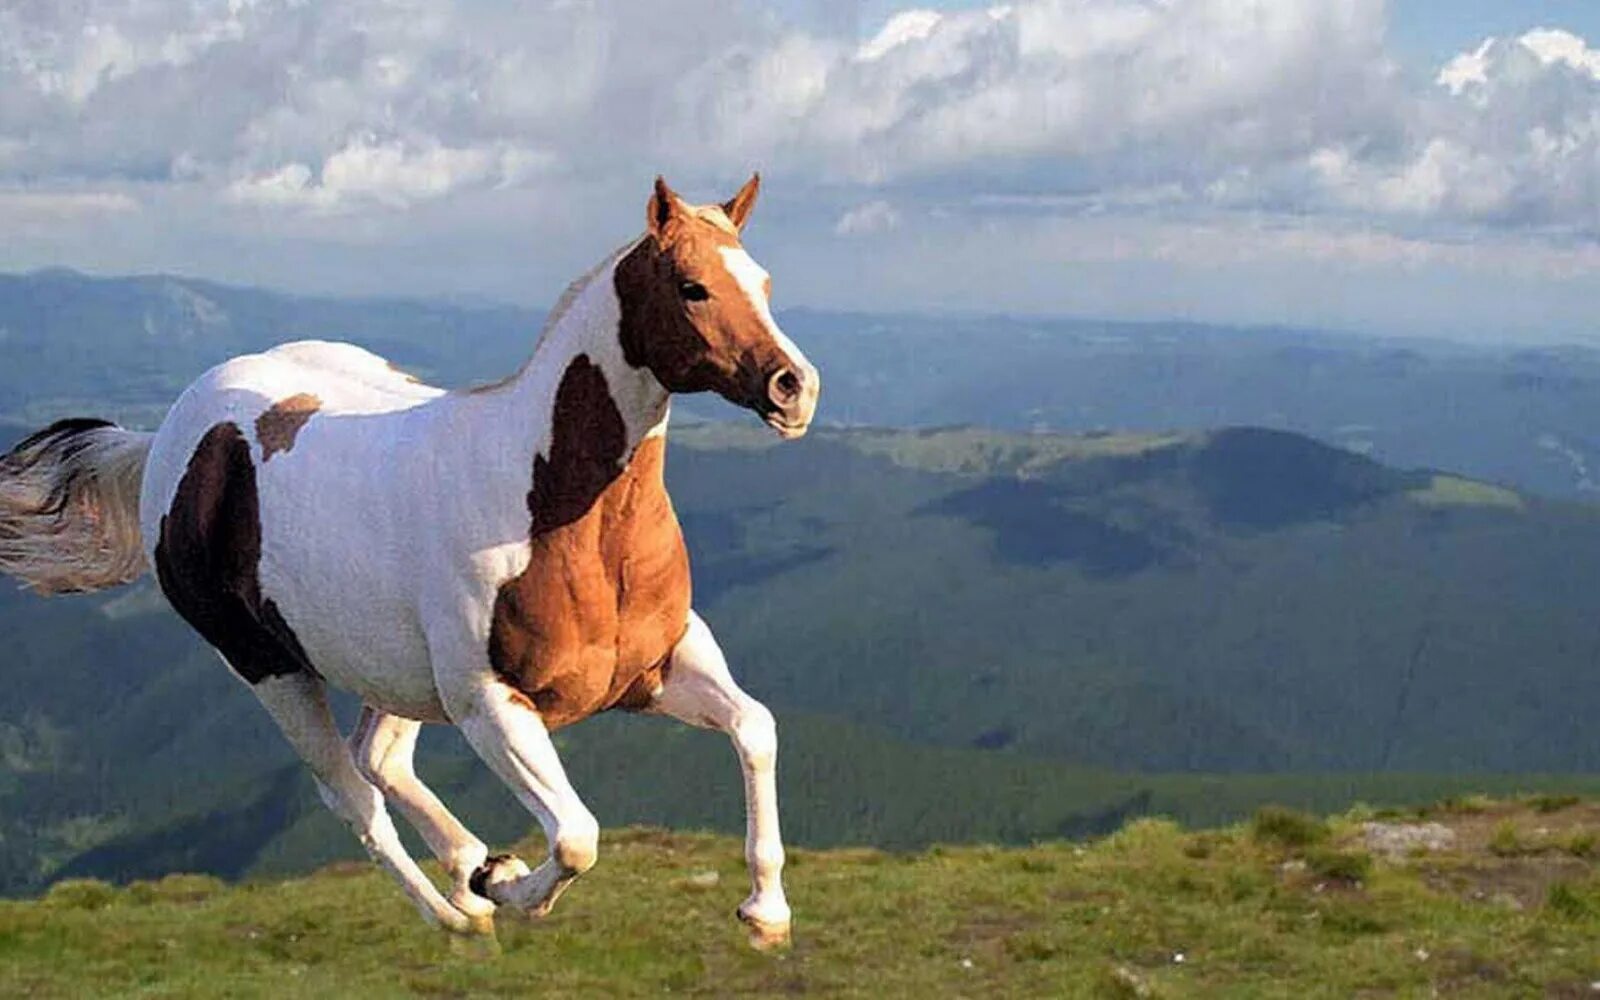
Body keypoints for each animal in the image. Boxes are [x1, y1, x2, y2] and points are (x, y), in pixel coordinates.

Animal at [0, 175, 812, 947]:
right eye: (692, 286)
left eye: (765, 282)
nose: (794, 388)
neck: (547, 503)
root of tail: (168, 435)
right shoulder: (491, 706)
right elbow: (577, 837)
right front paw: (508, 887)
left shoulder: (660, 664)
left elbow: (757, 728)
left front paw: (765, 913)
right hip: (269, 666)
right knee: (352, 794)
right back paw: (461, 914)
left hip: (390, 672)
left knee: (379, 760)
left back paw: (470, 870)